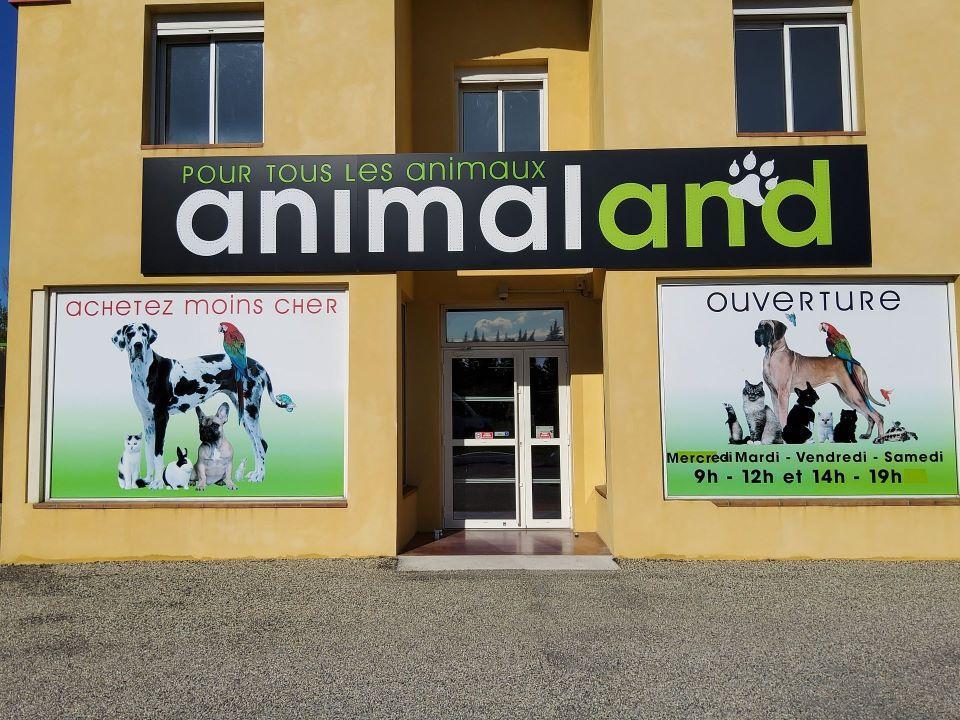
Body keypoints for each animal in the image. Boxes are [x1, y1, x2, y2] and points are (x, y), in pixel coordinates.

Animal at [112, 323, 294, 489]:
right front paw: (149, 479)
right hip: (244, 413)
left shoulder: (161, 417)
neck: (145, 371)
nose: (137, 345)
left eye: (143, 334)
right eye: (130, 333)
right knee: (257, 444)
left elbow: (158, 453)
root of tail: (259, 366)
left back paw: (260, 476)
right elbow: (149, 453)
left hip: (250, 412)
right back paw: (256, 473)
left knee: (261, 444)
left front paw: (157, 483)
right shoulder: (148, 420)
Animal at [754, 319, 884, 441]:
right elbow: (776, 414)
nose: (756, 332)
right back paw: (867, 435)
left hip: (854, 395)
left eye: (767, 327)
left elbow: (782, 416)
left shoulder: (783, 394)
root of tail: (855, 364)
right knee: (870, 417)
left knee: (877, 416)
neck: (772, 354)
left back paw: (880, 438)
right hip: (848, 397)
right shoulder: (774, 393)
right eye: (759, 326)